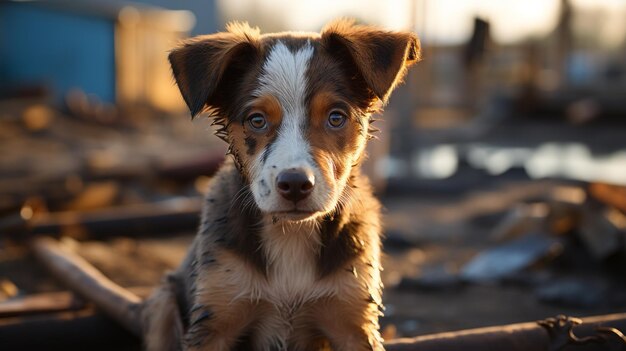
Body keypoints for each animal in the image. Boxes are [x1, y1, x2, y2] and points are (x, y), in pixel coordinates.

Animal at [143, 20, 420, 351]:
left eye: (336, 118)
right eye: (257, 120)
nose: (296, 184)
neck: (291, 233)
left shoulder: (353, 320)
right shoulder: (215, 318)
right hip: (163, 303)